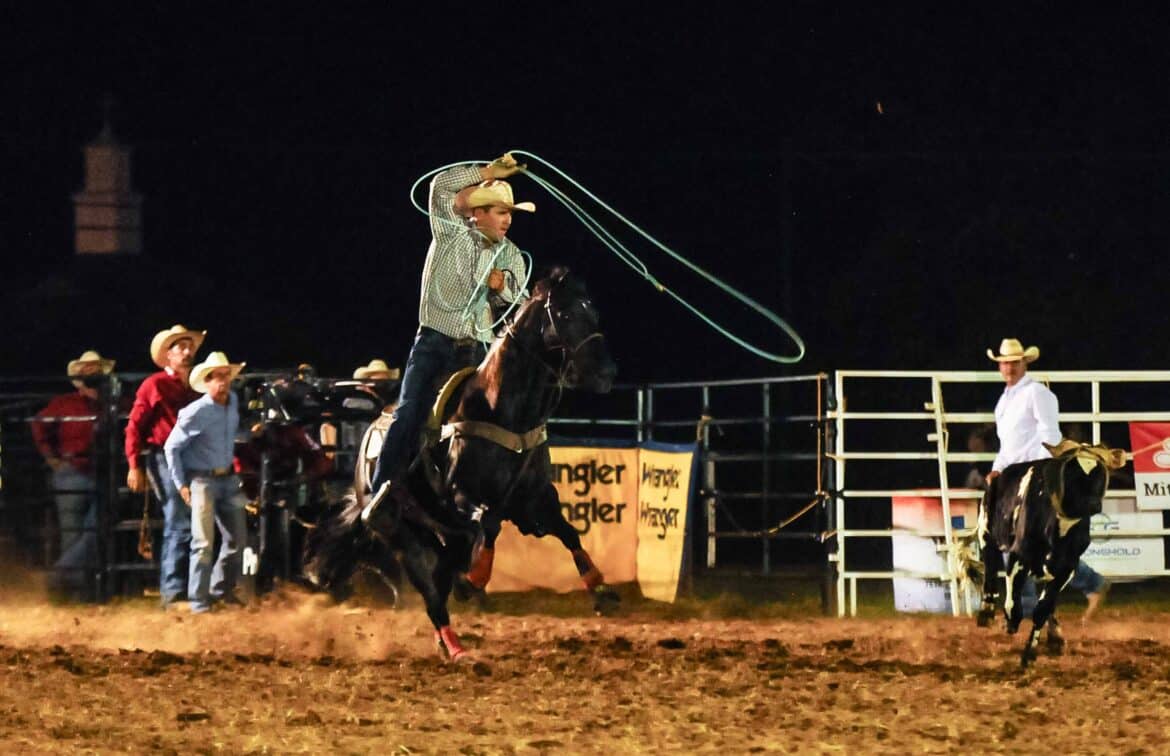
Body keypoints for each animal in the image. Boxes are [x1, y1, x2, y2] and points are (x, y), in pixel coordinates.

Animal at [305, 268, 618, 661]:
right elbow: (488, 523)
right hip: (401, 535)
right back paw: (453, 642)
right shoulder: (463, 497)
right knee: (429, 590)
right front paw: (477, 578)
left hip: (433, 529)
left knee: (444, 568)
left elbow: (569, 532)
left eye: (594, 312)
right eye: (564, 314)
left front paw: (601, 589)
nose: (607, 373)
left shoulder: (535, 501)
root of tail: (365, 457)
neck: (503, 411)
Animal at [974, 440, 1125, 667]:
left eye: (1099, 473)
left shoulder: (1066, 568)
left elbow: (1043, 609)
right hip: (986, 531)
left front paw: (1030, 653)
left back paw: (1055, 637)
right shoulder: (1019, 556)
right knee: (990, 566)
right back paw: (986, 612)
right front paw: (1010, 621)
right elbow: (1013, 603)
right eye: (1073, 472)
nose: (1093, 503)